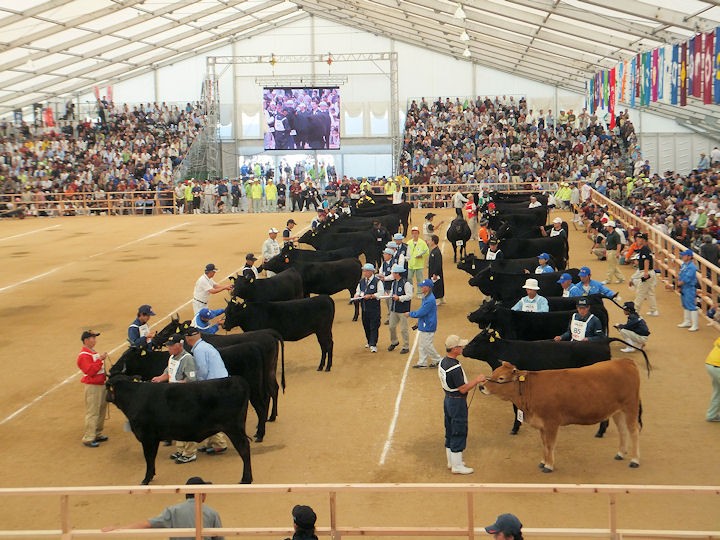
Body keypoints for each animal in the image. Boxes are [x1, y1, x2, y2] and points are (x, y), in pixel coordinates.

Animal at [105, 376, 253, 486]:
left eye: (106, 386)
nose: (105, 398)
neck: (134, 397)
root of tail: (237, 380)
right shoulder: (153, 438)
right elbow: (152, 458)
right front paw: (151, 475)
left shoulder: (147, 437)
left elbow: (149, 458)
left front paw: (146, 479)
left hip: (233, 429)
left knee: (244, 449)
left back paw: (246, 479)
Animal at [484, 358, 640, 472]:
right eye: (493, 373)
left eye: (501, 378)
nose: (481, 386)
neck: (531, 388)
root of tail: (624, 361)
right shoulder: (542, 425)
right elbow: (544, 443)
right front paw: (543, 462)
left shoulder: (551, 422)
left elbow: (550, 444)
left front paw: (549, 466)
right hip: (617, 411)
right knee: (622, 430)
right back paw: (621, 453)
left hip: (630, 407)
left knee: (634, 431)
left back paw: (634, 460)